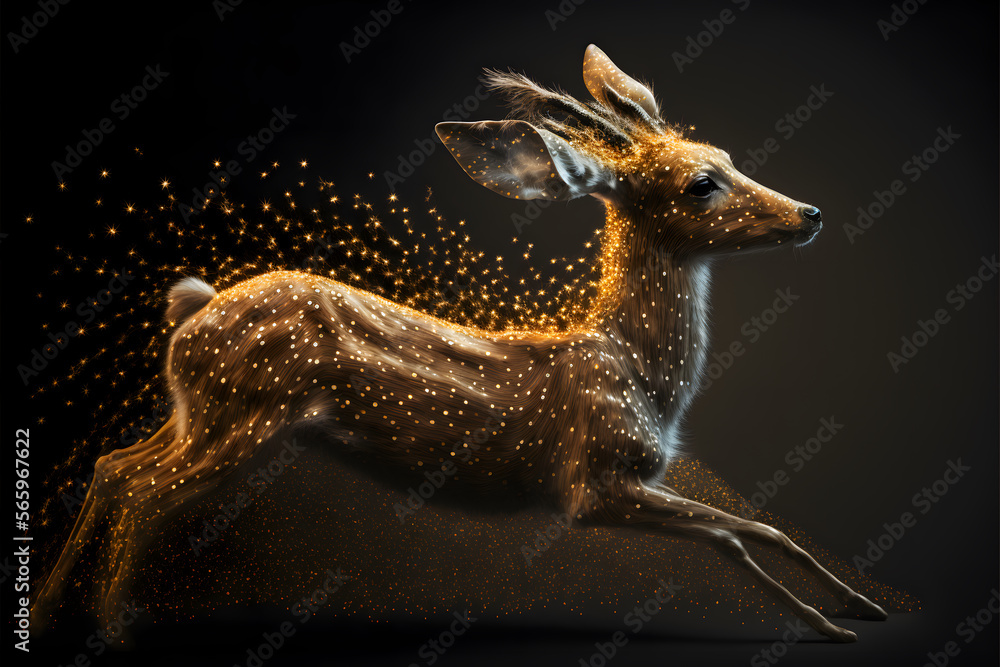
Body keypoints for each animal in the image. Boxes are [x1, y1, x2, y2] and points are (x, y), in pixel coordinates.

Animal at [33, 44, 886, 642]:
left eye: (731, 158)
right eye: (700, 184)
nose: (809, 213)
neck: (640, 374)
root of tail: (195, 306)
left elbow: (748, 530)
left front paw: (857, 607)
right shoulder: (593, 481)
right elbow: (739, 532)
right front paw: (836, 620)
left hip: (196, 413)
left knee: (112, 467)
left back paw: (48, 612)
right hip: (244, 416)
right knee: (142, 492)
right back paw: (112, 627)